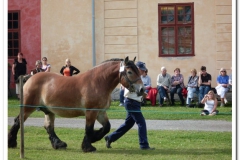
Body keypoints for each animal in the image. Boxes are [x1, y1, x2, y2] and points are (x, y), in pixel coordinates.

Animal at [8, 56, 144, 152]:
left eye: (138, 71)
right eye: (130, 72)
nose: (142, 89)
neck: (97, 82)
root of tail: (30, 78)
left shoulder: (101, 112)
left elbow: (107, 127)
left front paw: (94, 138)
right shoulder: (91, 112)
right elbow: (89, 129)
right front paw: (88, 146)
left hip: (49, 111)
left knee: (49, 127)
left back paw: (59, 144)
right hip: (27, 108)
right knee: (18, 121)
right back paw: (12, 142)